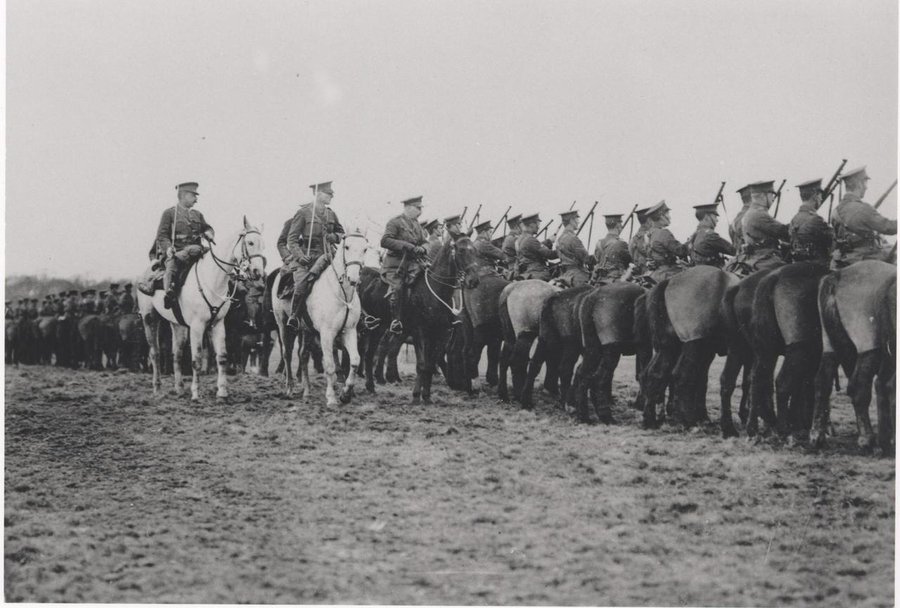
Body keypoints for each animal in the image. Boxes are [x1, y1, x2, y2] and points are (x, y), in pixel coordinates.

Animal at [138, 216, 268, 402]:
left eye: (263, 245)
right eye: (250, 242)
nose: (258, 273)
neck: (212, 279)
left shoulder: (217, 324)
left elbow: (222, 357)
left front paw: (222, 392)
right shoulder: (197, 326)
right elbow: (196, 360)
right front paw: (195, 393)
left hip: (177, 324)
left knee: (176, 354)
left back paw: (179, 388)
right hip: (149, 318)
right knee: (155, 353)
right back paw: (158, 389)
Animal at [274, 232, 370, 404]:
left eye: (365, 249)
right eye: (347, 247)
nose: (353, 278)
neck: (342, 294)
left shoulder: (349, 331)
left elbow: (355, 361)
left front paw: (345, 394)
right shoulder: (327, 334)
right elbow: (330, 366)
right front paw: (331, 398)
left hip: (306, 330)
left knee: (303, 355)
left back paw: (306, 392)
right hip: (283, 325)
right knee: (287, 354)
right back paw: (290, 388)